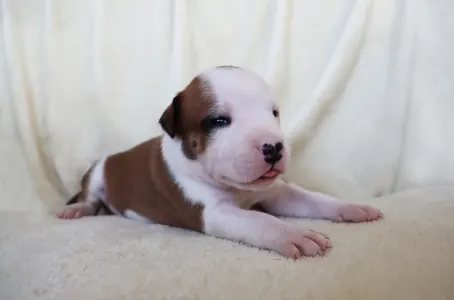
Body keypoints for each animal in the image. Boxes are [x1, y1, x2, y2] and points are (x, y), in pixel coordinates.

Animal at [56, 67, 384, 258]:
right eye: (218, 121)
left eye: (274, 113)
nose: (274, 147)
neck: (239, 190)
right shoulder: (214, 213)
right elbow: (261, 221)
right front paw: (294, 234)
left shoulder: (277, 192)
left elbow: (313, 199)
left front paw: (351, 208)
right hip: (96, 175)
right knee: (91, 200)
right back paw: (75, 209)